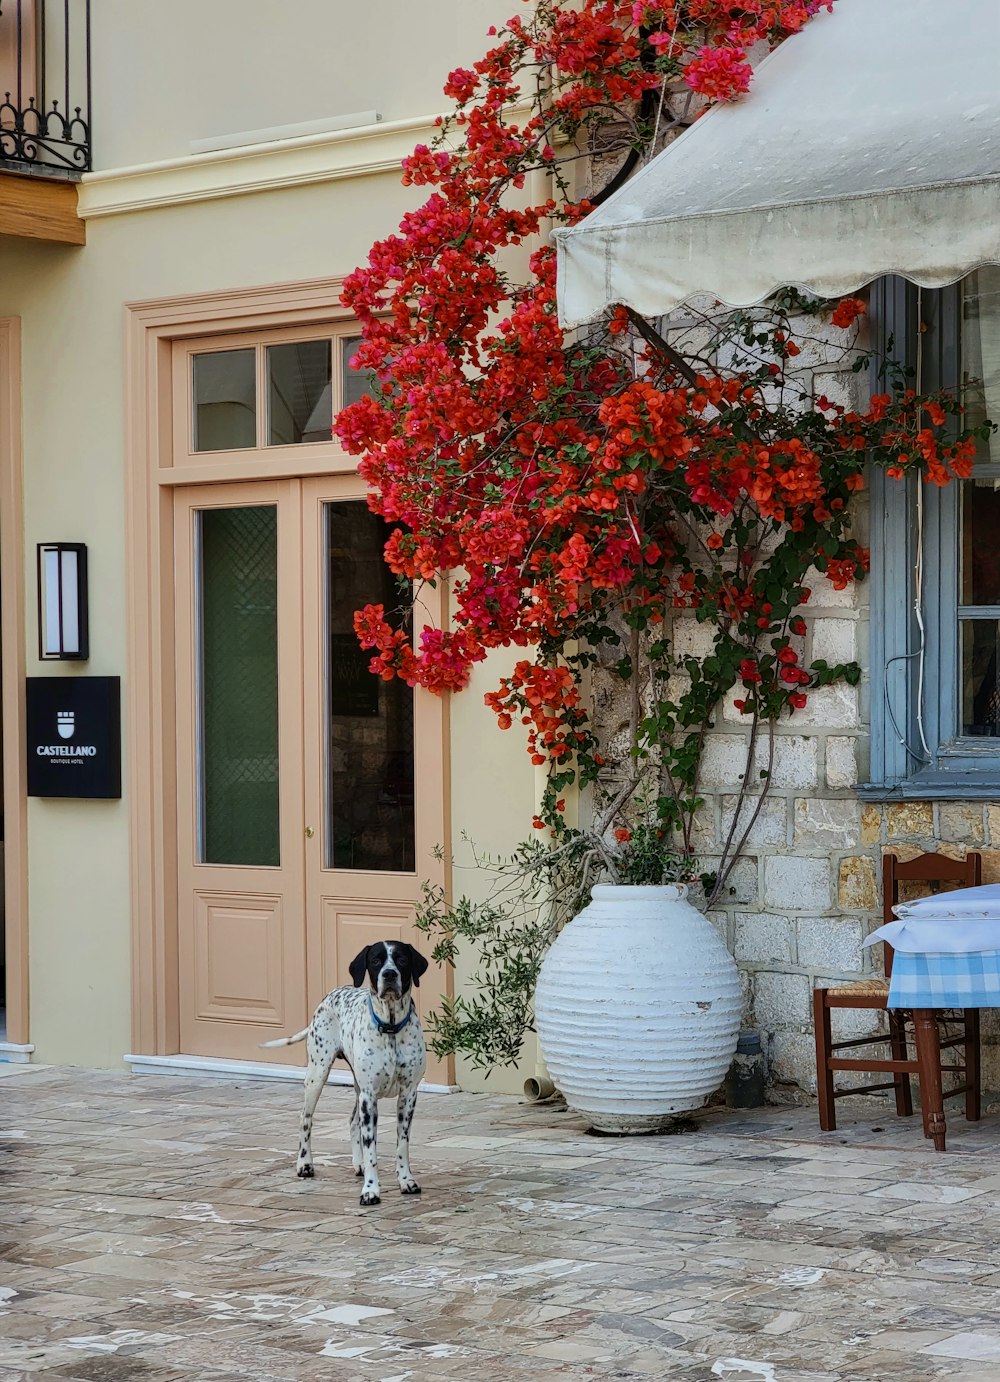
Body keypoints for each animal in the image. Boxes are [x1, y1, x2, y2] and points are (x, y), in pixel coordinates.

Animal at [259, 945, 428, 1205]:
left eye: (401, 959)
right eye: (376, 960)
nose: (389, 974)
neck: (390, 1028)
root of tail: (328, 996)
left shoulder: (408, 1095)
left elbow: (402, 1146)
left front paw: (406, 1181)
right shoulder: (369, 1097)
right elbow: (372, 1151)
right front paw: (370, 1190)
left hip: (357, 1089)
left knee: (352, 1121)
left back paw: (358, 1164)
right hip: (317, 1075)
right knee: (305, 1118)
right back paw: (304, 1164)